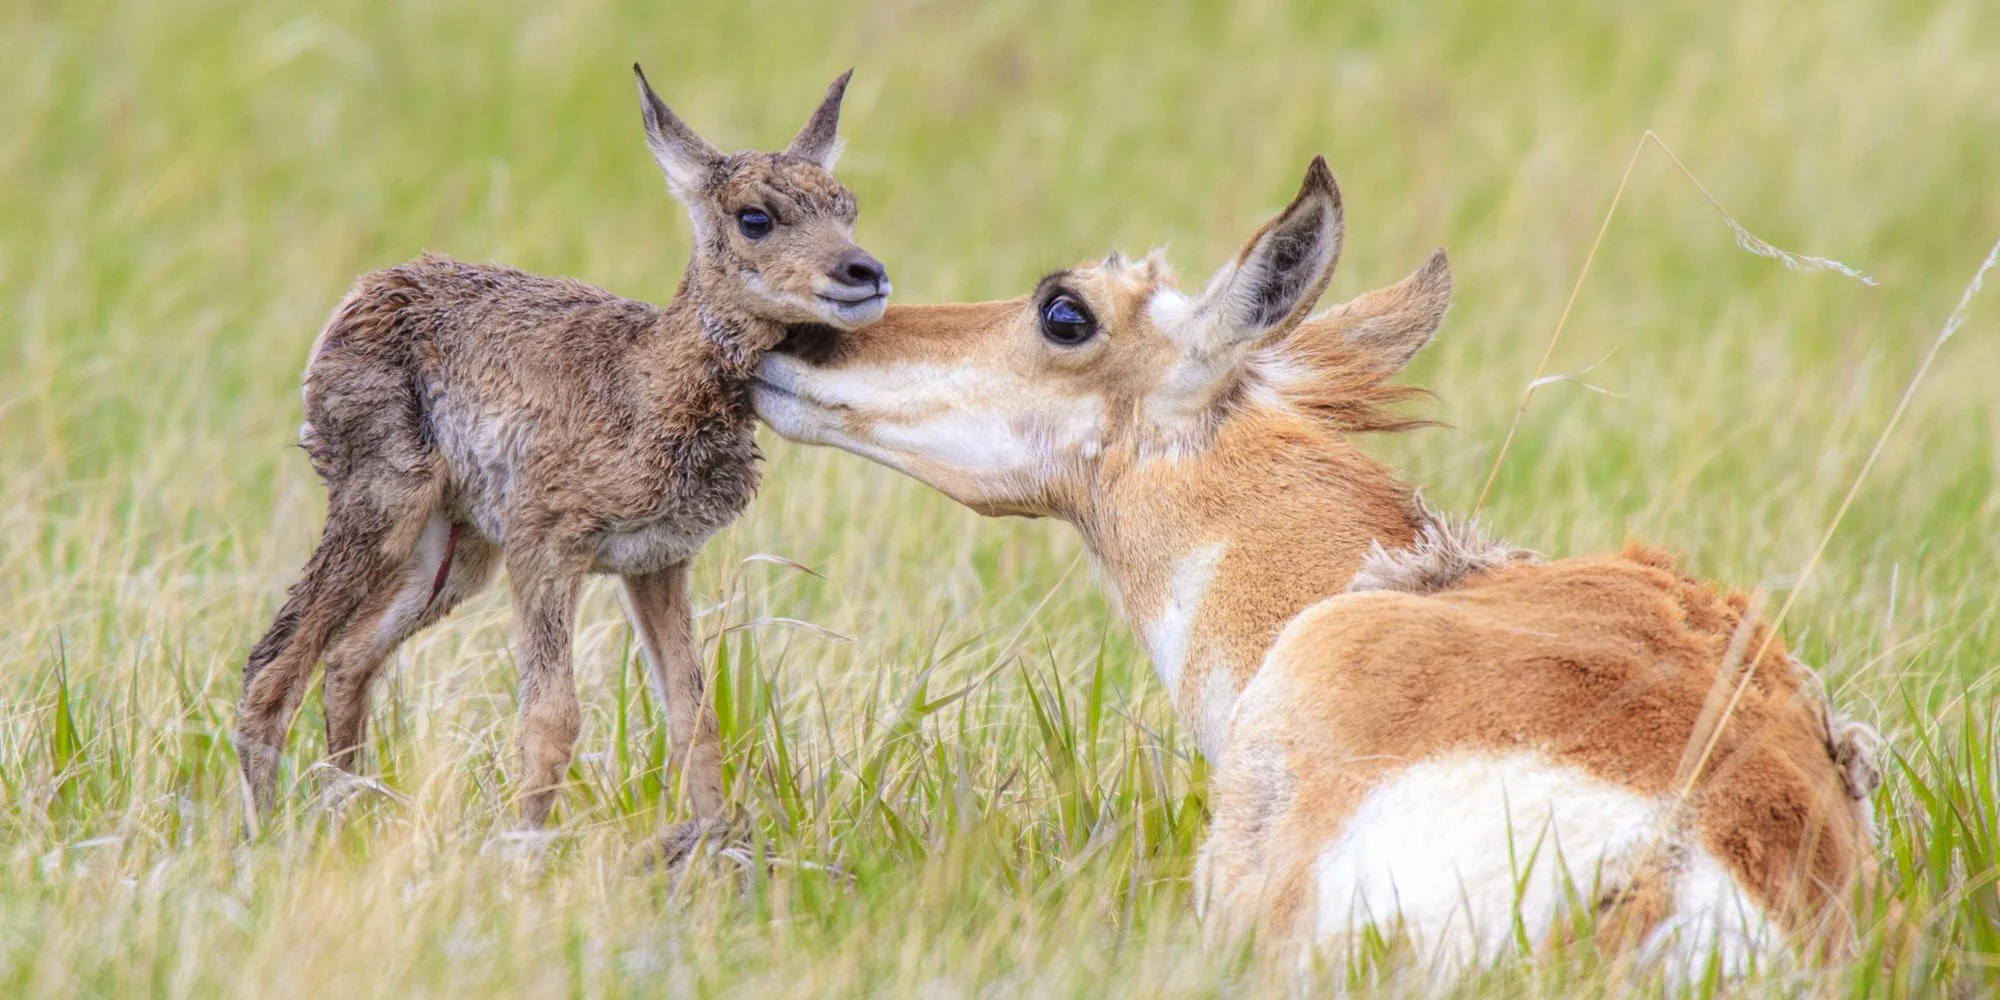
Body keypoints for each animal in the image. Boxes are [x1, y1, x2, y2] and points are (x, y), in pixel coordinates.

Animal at [236, 65, 889, 851]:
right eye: (754, 217)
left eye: (847, 207)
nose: (865, 271)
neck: (646, 381)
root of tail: (361, 297)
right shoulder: (547, 553)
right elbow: (552, 720)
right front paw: (526, 852)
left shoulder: (658, 564)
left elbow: (694, 717)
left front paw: (714, 845)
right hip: (386, 513)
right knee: (272, 669)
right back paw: (268, 838)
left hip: (454, 556)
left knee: (345, 660)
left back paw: (351, 820)